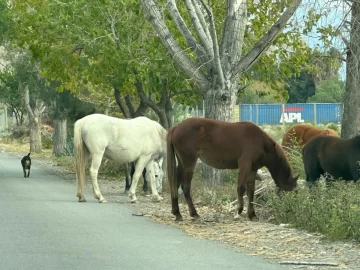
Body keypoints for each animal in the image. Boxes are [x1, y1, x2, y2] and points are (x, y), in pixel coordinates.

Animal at [166, 118, 298, 221]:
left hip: (182, 164)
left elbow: (251, 191)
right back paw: (194, 213)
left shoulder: (252, 170)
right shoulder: (244, 165)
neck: (261, 142)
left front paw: (251, 214)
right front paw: (239, 211)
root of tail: (176, 127)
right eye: (292, 191)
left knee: (175, 184)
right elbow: (241, 188)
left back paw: (177, 213)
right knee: (185, 187)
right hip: (189, 163)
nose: (290, 209)